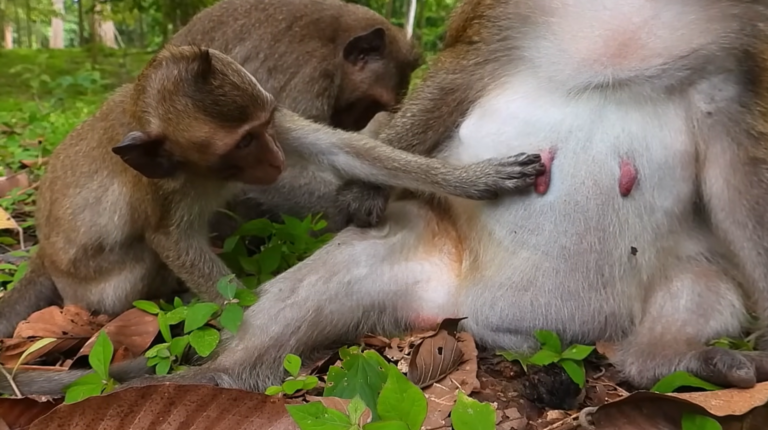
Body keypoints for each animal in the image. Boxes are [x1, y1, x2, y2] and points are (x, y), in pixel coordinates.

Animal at [0, 44, 544, 341]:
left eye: (262, 128)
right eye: (243, 142)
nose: (276, 156)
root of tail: (45, 255)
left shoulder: (272, 108)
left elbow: (347, 151)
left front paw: (476, 178)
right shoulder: (163, 190)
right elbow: (169, 241)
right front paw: (253, 319)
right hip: (95, 292)